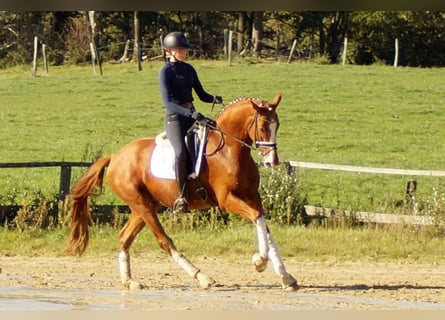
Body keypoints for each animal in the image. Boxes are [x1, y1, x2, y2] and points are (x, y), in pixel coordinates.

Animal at [65, 92, 298, 292]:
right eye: (263, 126)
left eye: (277, 124)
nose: (271, 161)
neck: (229, 150)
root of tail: (114, 157)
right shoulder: (227, 200)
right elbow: (257, 217)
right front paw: (259, 261)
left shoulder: (252, 196)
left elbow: (264, 225)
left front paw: (286, 277)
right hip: (143, 206)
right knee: (164, 241)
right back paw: (202, 277)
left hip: (144, 207)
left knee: (124, 237)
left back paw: (130, 281)